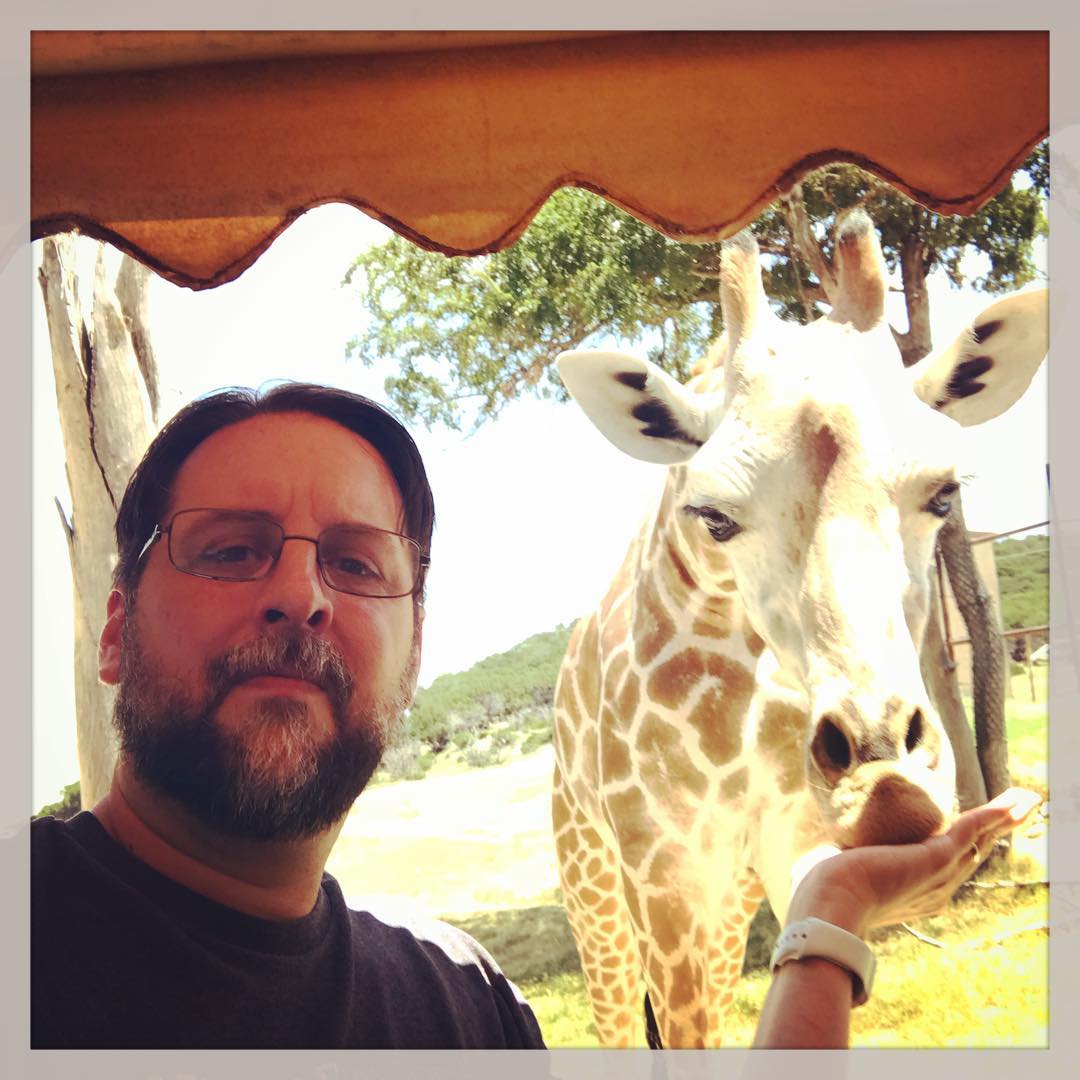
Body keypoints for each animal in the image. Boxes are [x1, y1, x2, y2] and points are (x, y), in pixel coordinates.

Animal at [548, 210, 1045, 1045]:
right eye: (713, 515)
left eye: (943, 493)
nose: (884, 786)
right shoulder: (663, 874)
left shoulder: (788, 846)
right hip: (591, 883)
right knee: (614, 1023)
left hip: (724, 902)